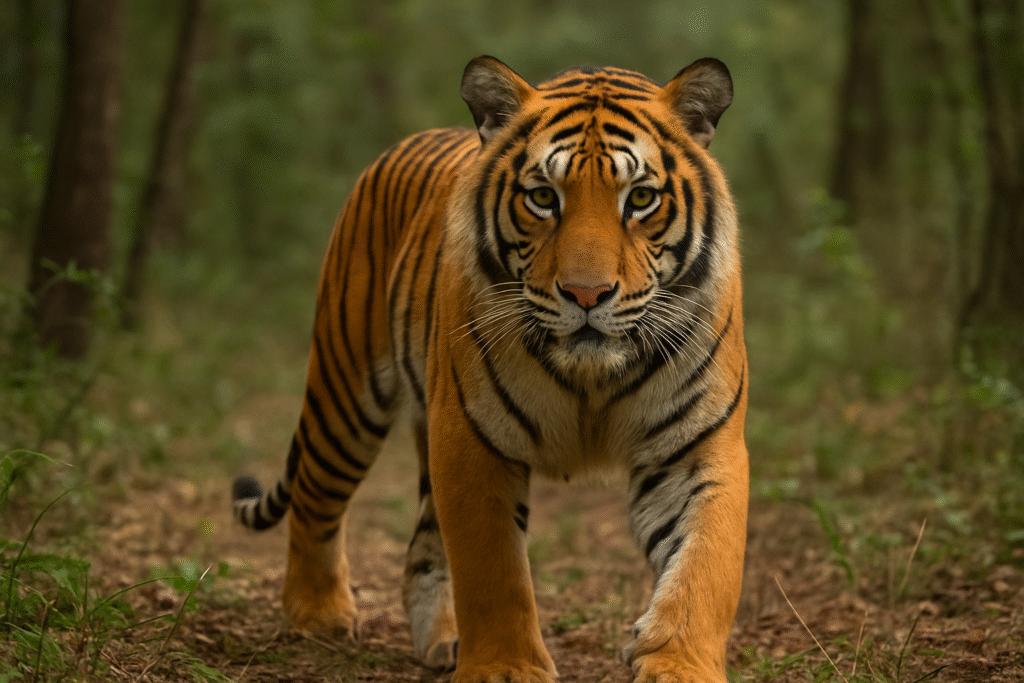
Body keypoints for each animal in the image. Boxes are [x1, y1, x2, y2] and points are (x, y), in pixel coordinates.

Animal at [232, 55, 748, 683]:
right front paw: (506, 667)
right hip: (345, 392)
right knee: (316, 498)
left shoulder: (697, 448)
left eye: (642, 198)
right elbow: (492, 570)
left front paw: (678, 663)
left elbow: (705, 567)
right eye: (543, 197)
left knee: (421, 548)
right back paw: (318, 615)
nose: (587, 293)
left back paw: (441, 641)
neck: (592, 379)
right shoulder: (471, 440)